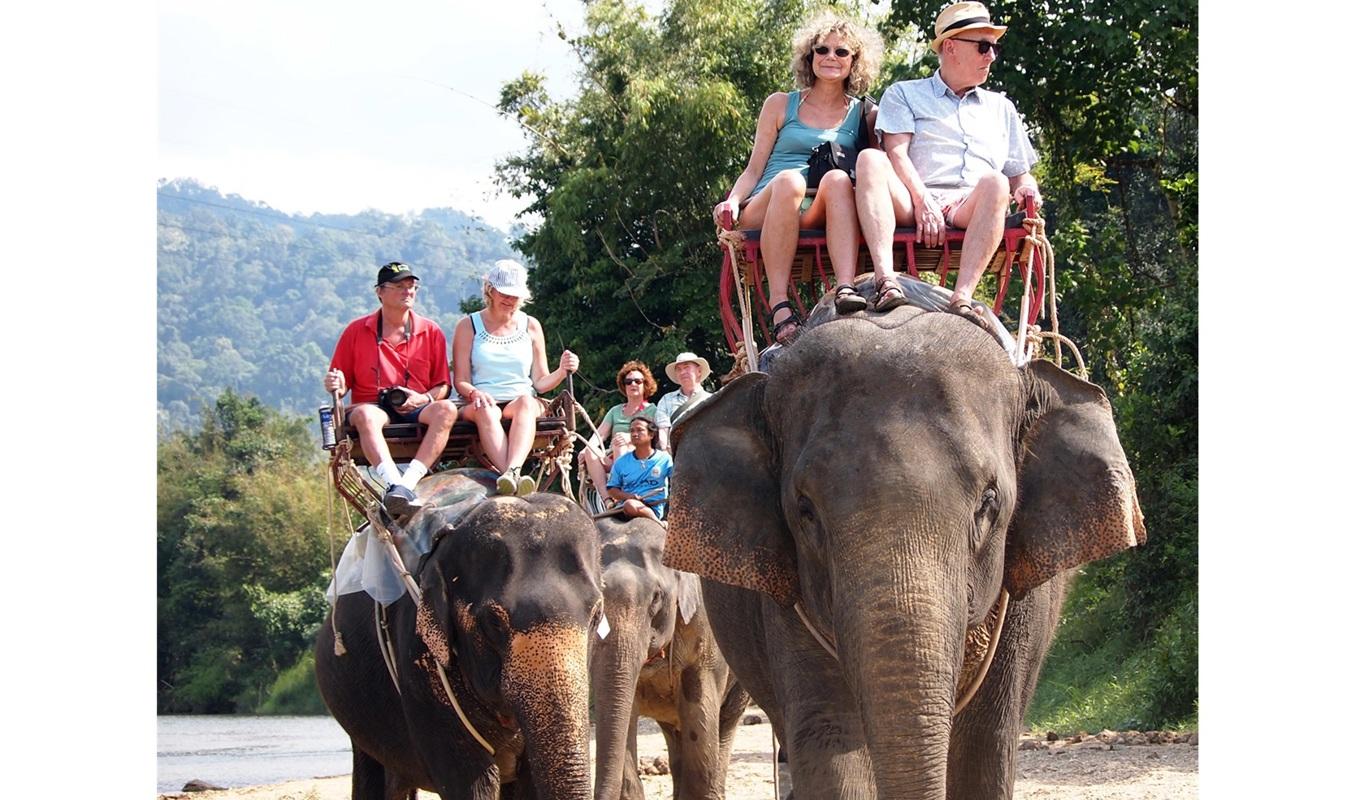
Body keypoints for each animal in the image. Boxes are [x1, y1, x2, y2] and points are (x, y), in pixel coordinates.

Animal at [663, 293, 1142, 800]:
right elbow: (834, 746)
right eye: (805, 510)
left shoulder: (1024, 600)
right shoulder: (785, 599)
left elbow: (983, 747)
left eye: (988, 503)